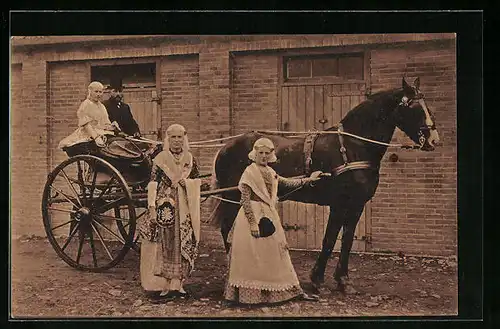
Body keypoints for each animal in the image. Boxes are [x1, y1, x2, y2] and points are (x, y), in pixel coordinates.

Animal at [209, 77, 440, 292]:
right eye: (413, 106)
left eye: (426, 104)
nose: (434, 140)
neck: (352, 148)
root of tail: (225, 147)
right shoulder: (338, 204)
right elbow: (329, 240)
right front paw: (317, 279)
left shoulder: (356, 205)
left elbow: (346, 240)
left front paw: (343, 280)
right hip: (233, 197)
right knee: (226, 228)